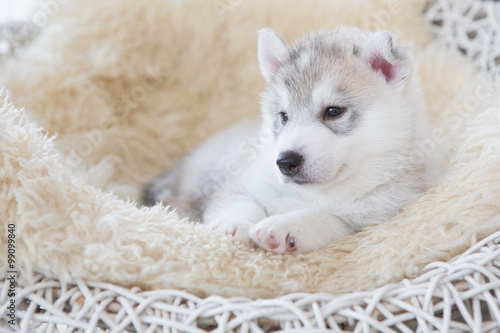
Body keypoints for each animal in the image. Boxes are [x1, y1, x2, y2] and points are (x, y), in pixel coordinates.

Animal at [144, 27, 438, 253]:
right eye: (283, 116)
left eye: (333, 111)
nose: (285, 161)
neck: (316, 193)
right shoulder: (238, 184)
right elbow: (240, 203)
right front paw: (234, 225)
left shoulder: (373, 220)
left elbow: (326, 218)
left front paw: (285, 226)